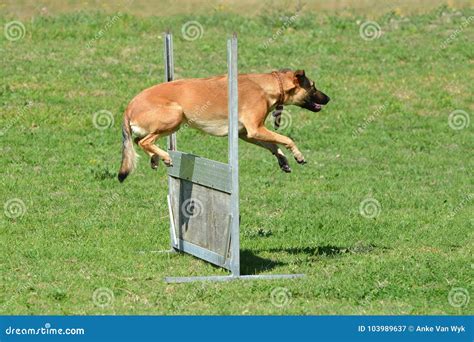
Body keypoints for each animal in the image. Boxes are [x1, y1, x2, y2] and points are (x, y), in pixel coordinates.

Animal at [117, 69, 330, 182]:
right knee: (144, 141)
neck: (267, 86)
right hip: (175, 116)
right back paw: (164, 156)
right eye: (313, 86)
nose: (328, 99)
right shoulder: (256, 129)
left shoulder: (247, 133)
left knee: (139, 141)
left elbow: (273, 145)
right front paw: (298, 155)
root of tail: (128, 107)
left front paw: (283, 161)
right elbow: (286, 139)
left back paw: (155, 158)